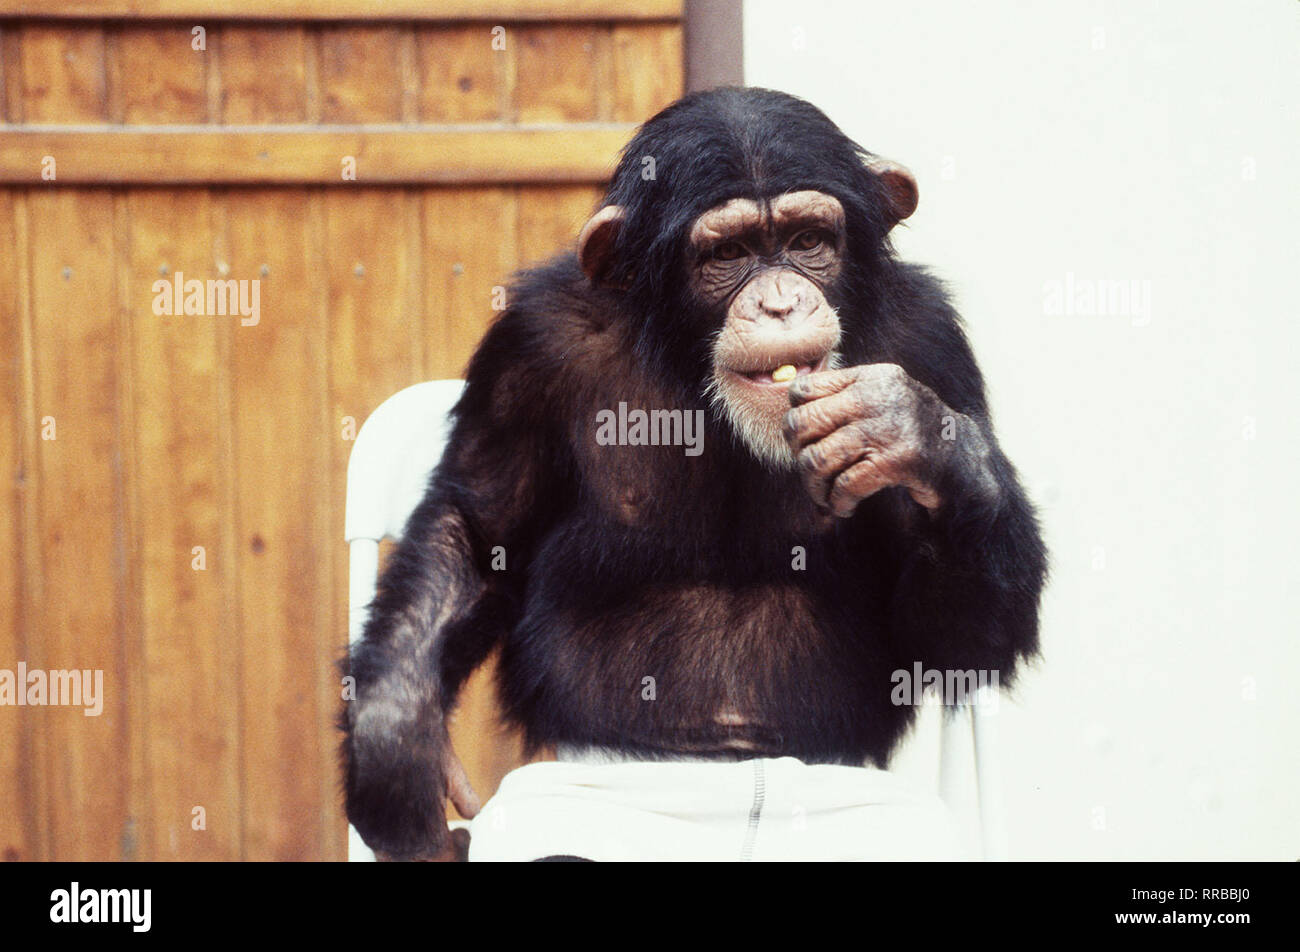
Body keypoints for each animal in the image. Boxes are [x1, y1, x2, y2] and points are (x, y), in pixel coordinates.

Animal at [343, 87, 1045, 863]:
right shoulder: (530, 342)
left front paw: (905, 427)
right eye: (728, 253)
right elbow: (479, 534)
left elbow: (956, 647)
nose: (779, 302)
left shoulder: (932, 341)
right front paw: (395, 745)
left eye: (808, 241)